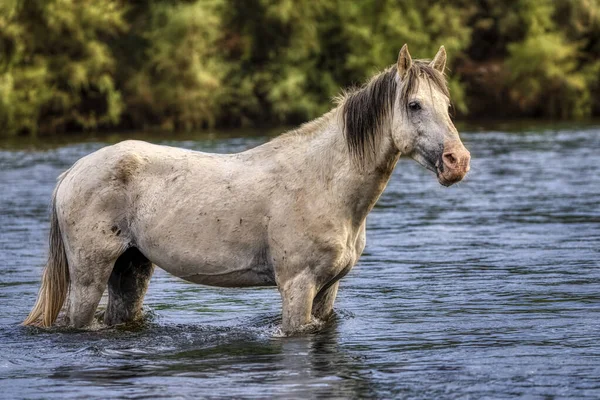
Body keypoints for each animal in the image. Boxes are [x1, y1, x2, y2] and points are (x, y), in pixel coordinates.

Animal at [24, 45, 468, 334]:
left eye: (448, 107)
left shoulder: (328, 290)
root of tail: (72, 172)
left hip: (130, 269)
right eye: (413, 105)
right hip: (89, 277)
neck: (325, 183)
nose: (457, 162)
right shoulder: (297, 286)